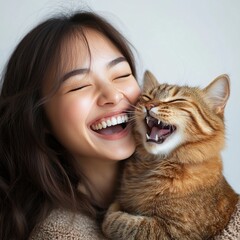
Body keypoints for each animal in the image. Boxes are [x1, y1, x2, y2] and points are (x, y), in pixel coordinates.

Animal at [102, 70, 239, 239]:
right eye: (147, 97)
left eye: (177, 100)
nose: (149, 105)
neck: (153, 163)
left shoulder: (174, 230)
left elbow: (124, 223)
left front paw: (112, 213)